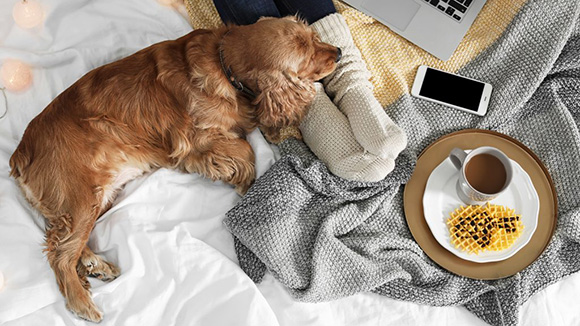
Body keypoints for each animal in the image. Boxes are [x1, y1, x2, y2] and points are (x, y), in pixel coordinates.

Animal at [9, 16, 340, 322]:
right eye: (307, 59)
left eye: (314, 37)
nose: (337, 52)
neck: (223, 61)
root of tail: (20, 152)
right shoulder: (195, 143)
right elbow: (244, 150)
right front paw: (245, 181)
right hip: (82, 197)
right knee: (60, 254)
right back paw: (82, 302)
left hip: (98, 198)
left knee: (61, 240)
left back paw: (94, 264)